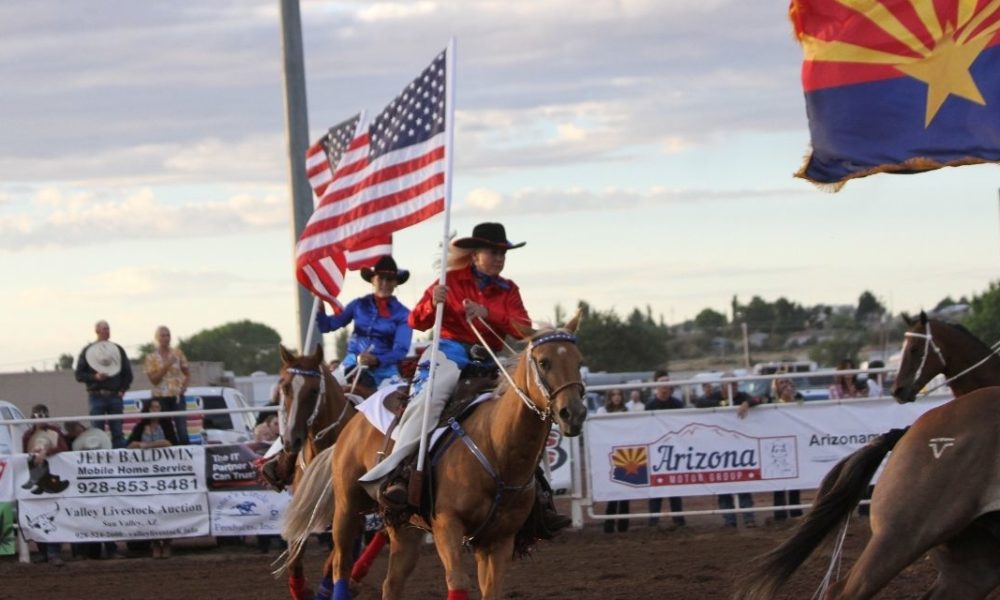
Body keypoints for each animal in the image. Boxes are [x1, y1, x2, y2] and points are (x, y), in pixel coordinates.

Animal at [276, 344, 358, 600]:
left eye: (313, 391)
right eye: (285, 387)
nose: (291, 440)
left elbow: (332, 563)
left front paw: (325, 590)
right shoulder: (304, 508)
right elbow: (294, 560)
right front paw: (302, 590)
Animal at [286, 318, 588, 600]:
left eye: (578, 361)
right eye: (544, 362)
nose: (573, 413)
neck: (497, 447)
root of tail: (351, 424)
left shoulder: (498, 540)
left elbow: (491, 590)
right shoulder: (447, 525)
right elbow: (458, 582)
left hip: (403, 527)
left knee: (391, 583)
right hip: (347, 508)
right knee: (340, 565)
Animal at [736, 314, 1000, 600]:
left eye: (915, 349)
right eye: (908, 348)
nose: (899, 390)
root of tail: (908, 432)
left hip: (971, 563)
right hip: (901, 536)